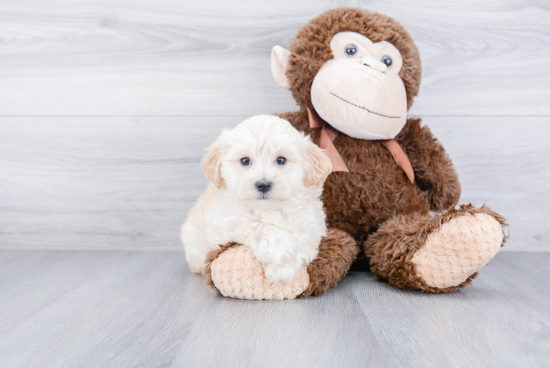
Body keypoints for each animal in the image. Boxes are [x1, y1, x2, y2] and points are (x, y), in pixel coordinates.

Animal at [183, 116, 334, 284]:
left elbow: (303, 236)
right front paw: (278, 250)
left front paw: (284, 269)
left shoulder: (311, 222)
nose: (263, 185)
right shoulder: (224, 225)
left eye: (281, 160)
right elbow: (255, 224)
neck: (267, 209)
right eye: (245, 161)